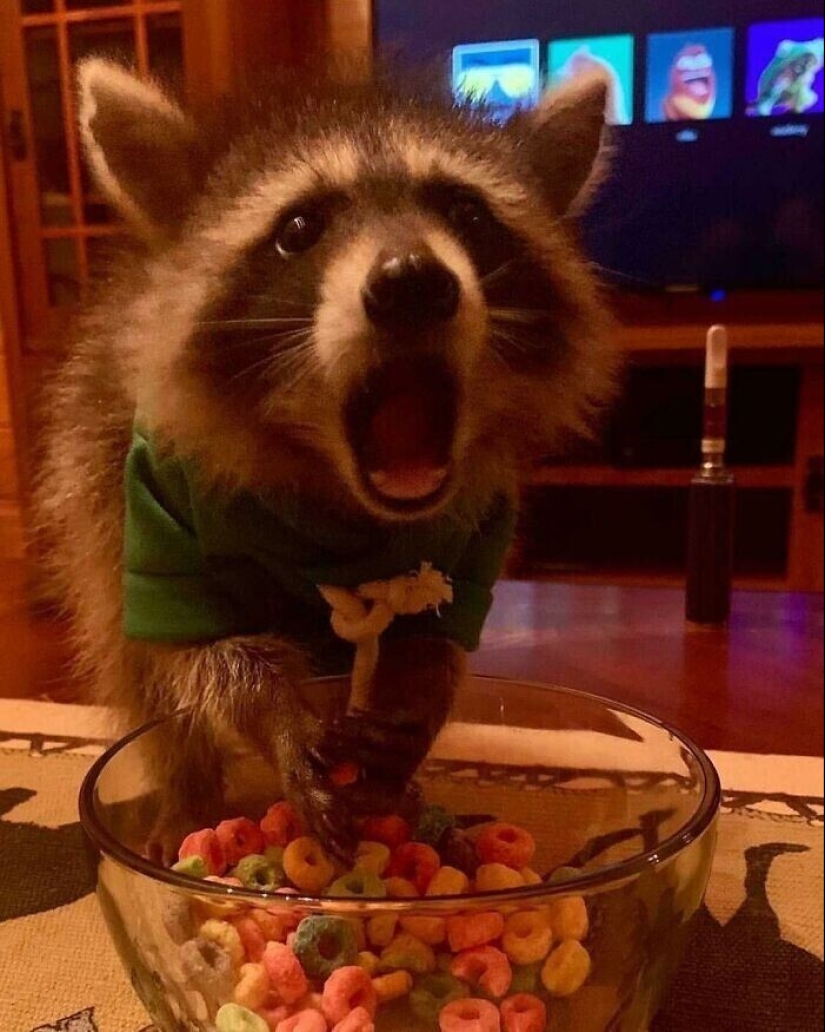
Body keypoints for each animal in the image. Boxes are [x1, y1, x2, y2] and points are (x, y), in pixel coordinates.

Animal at [36, 60, 614, 858]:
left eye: (467, 214)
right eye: (299, 229)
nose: (411, 281)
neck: (333, 488)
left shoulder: (477, 527)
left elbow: (438, 638)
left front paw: (416, 697)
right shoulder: (145, 498)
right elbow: (199, 651)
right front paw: (271, 711)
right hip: (89, 467)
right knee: (128, 655)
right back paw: (186, 788)